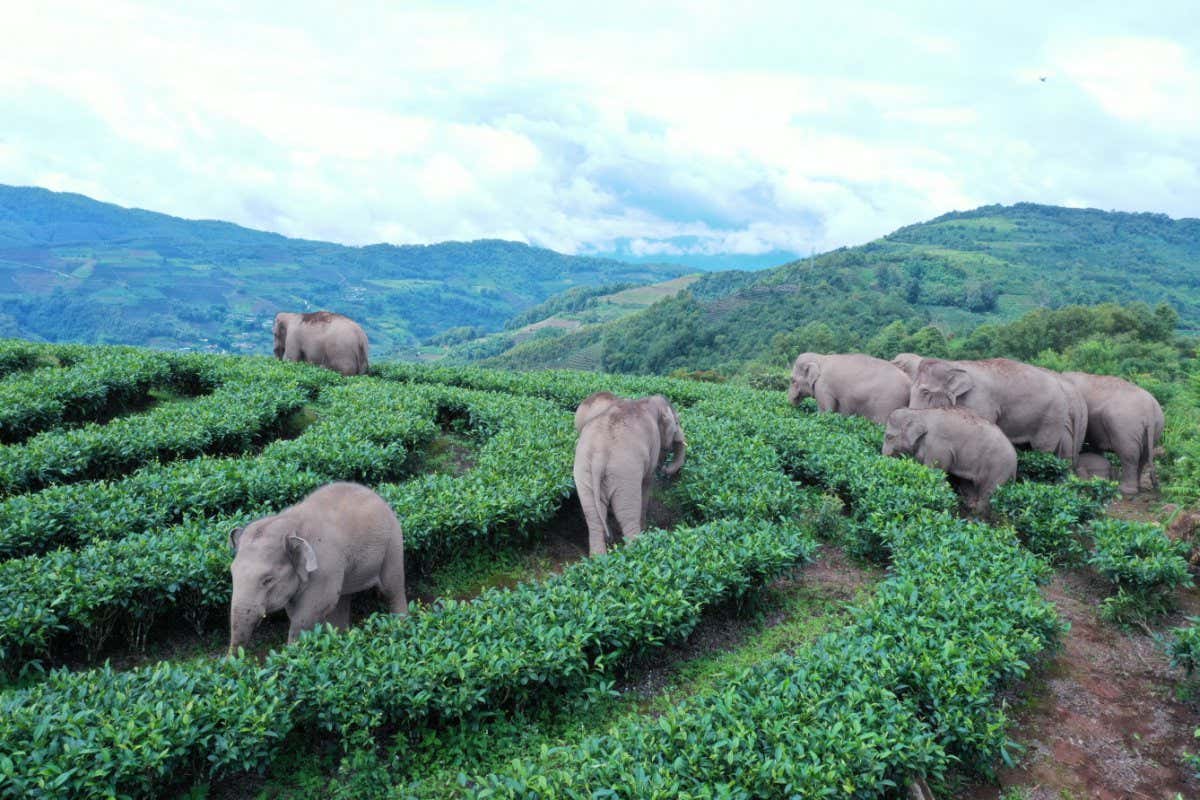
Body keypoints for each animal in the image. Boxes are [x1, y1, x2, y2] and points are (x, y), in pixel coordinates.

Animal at [228, 481, 407, 652]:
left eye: (268, 580)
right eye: (232, 574)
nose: (233, 660)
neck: (290, 523)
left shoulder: (325, 567)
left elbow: (309, 612)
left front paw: (293, 654)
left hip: (393, 544)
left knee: (392, 589)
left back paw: (401, 625)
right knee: (342, 599)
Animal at [573, 394, 686, 557]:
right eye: (677, 422)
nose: (665, 469)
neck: (647, 400)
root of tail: (600, 454)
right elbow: (647, 482)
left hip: (583, 470)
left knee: (593, 516)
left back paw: (599, 558)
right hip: (624, 473)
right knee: (627, 513)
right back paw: (638, 549)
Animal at [883, 407, 1017, 514]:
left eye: (889, 437)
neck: (920, 413)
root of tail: (1015, 461)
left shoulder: (937, 446)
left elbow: (935, 473)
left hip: (999, 467)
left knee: (987, 494)